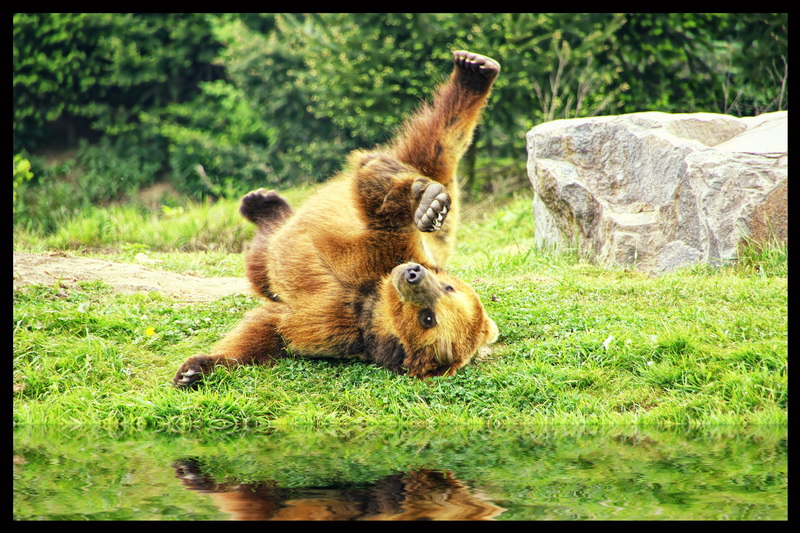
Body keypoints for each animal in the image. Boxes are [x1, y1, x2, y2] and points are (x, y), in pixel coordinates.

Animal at [175, 51, 500, 386]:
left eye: (429, 318)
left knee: (263, 262)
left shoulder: (335, 328)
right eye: (449, 288)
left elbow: (269, 329)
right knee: (437, 142)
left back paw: (262, 207)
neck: (371, 299)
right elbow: (380, 202)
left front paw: (195, 369)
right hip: (429, 203)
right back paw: (474, 73)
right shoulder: (384, 249)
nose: (413, 274)